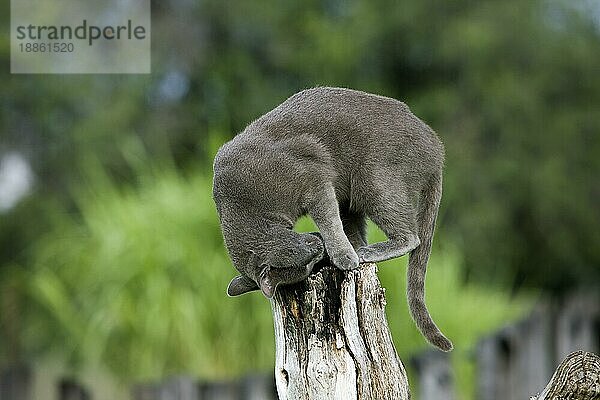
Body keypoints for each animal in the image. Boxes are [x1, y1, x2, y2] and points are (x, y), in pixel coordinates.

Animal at [213, 86, 452, 350]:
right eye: (306, 266)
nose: (318, 249)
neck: (246, 206)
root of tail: (437, 150)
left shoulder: (313, 178)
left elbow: (328, 220)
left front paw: (342, 257)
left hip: (374, 181)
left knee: (411, 236)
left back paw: (366, 252)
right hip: (352, 198)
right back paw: (359, 249)